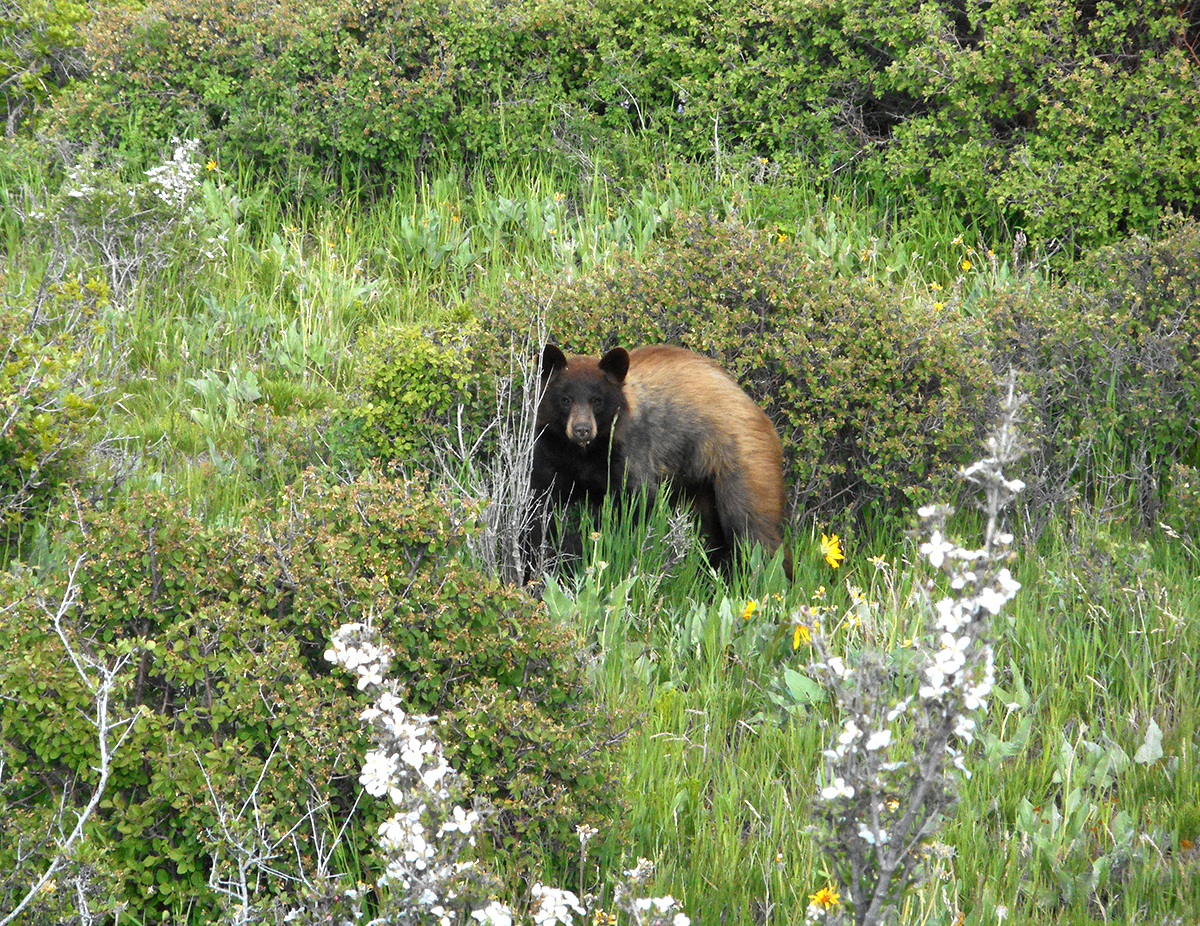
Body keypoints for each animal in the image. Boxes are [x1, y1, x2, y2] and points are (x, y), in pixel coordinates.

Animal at [530, 345, 792, 578]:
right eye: (566, 399)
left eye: (597, 400)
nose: (582, 430)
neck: (585, 454)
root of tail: (759, 413)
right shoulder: (552, 454)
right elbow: (539, 507)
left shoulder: (630, 454)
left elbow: (638, 505)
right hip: (700, 484)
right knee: (709, 533)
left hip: (741, 462)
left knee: (752, 528)